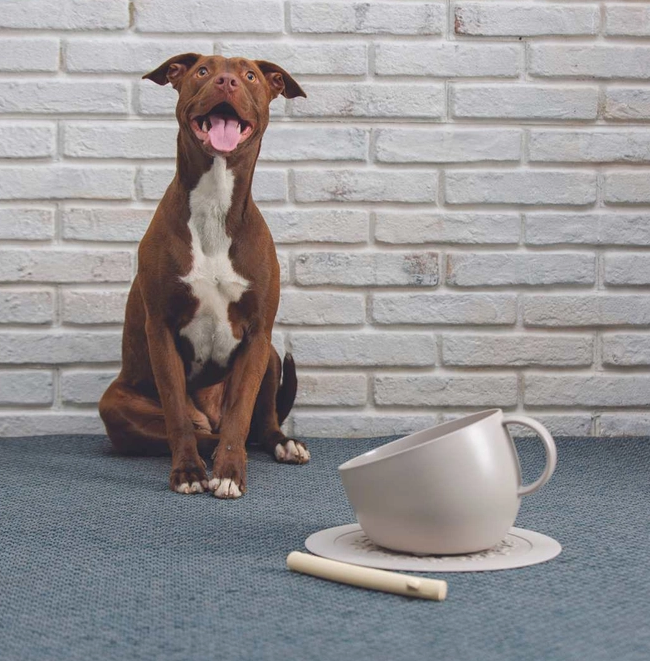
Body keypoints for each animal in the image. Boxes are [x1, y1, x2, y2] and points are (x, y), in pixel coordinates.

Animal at [98, 54, 308, 498]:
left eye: (250, 75)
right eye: (202, 71)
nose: (226, 81)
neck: (215, 201)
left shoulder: (258, 334)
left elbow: (241, 415)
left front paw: (228, 472)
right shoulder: (160, 329)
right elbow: (177, 412)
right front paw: (190, 472)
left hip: (271, 355)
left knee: (258, 424)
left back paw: (282, 444)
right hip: (116, 403)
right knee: (197, 430)